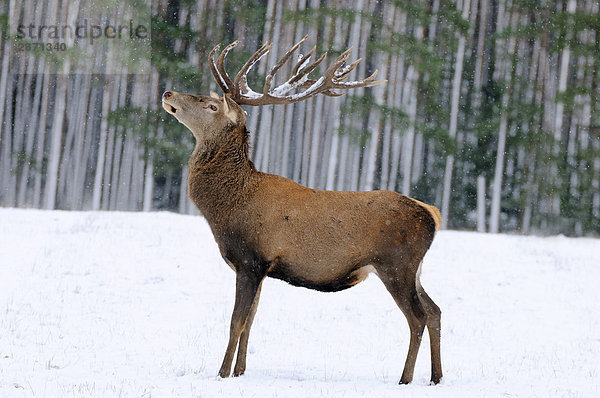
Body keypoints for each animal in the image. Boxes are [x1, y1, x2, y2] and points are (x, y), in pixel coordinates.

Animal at [162, 35, 442, 384]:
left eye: (211, 106)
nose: (168, 93)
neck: (225, 207)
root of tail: (431, 214)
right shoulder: (260, 268)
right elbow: (251, 320)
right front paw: (240, 372)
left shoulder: (251, 259)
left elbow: (236, 321)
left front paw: (222, 373)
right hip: (413, 269)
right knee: (434, 311)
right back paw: (436, 377)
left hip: (396, 264)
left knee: (417, 317)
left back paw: (405, 378)